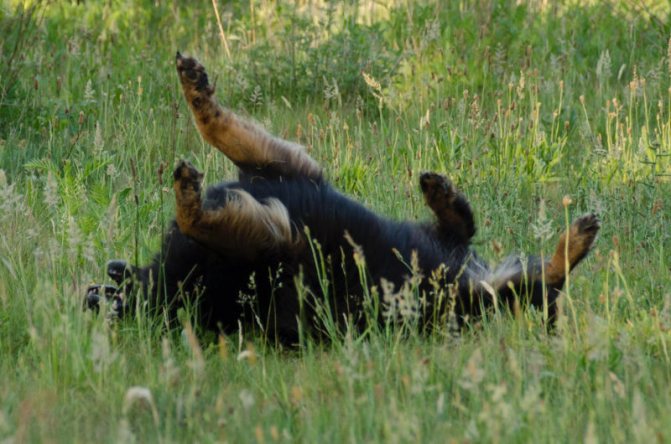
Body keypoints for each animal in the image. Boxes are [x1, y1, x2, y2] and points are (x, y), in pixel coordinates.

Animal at [85, 53, 604, 344]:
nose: (103, 288)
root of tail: (469, 277)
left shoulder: (282, 180)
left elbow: (218, 139)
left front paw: (195, 92)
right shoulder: (273, 239)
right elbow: (198, 217)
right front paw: (187, 193)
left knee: (472, 231)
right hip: (469, 297)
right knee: (539, 279)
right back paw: (574, 239)